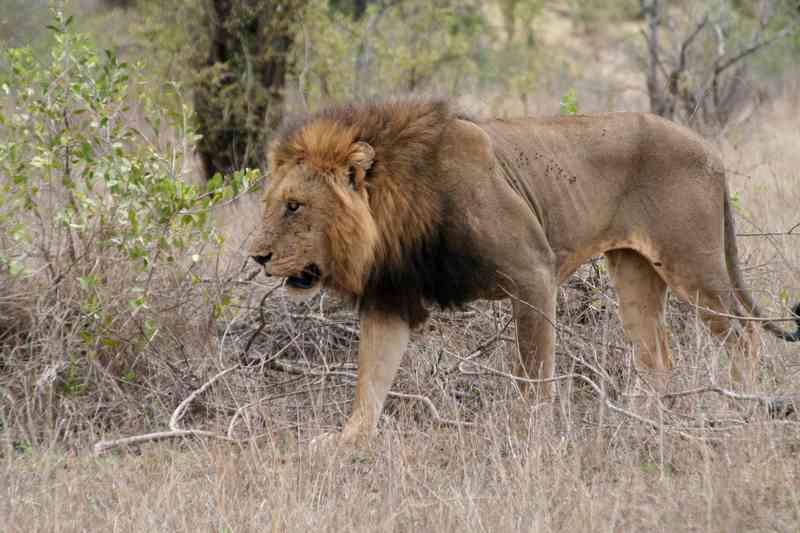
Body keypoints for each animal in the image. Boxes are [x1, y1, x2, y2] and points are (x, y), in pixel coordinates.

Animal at [249, 97, 799, 445]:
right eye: (273, 204)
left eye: (295, 206)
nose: (256, 257)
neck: (397, 205)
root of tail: (711, 150)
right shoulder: (390, 297)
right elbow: (370, 379)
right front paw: (346, 442)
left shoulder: (532, 272)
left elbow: (535, 371)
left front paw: (532, 434)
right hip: (634, 270)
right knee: (656, 356)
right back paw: (641, 421)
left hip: (691, 262)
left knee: (743, 334)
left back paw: (734, 406)